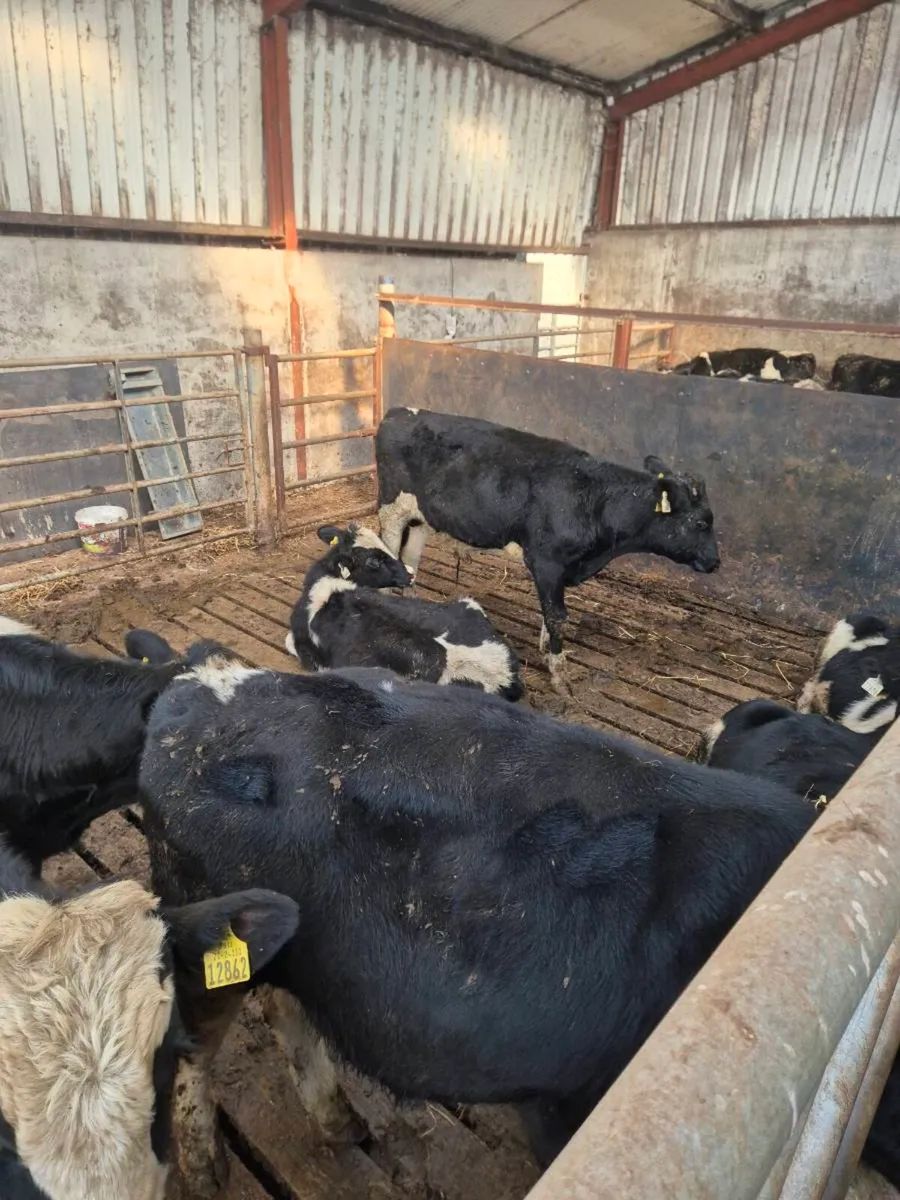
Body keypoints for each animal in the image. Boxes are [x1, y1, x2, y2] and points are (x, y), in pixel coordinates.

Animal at [136, 657, 844, 1196]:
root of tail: (193, 688)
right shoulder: (571, 1101)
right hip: (205, 926)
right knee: (197, 1048)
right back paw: (206, 1169)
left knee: (290, 1011)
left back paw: (340, 1122)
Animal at [374, 408, 719, 692]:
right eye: (702, 522)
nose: (715, 562)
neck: (594, 498)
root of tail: (397, 412)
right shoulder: (546, 561)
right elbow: (556, 616)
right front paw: (559, 674)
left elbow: (549, 612)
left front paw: (545, 648)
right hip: (391, 510)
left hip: (420, 518)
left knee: (410, 562)